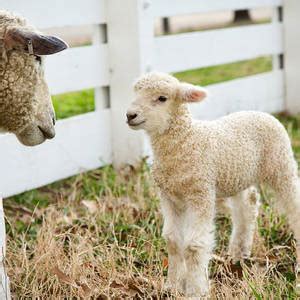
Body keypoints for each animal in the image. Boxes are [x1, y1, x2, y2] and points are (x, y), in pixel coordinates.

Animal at [126, 72, 300, 298]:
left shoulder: (200, 193)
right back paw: (238, 252)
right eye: (135, 92)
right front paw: (172, 286)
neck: (186, 141)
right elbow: (172, 240)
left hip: (281, 164)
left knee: (294, 207)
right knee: (248, 205)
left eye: (162, 98)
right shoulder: (169, 196)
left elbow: (194, 246)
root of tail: (261, 112)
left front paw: (196, 291)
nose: (130, 115)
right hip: (237, 175)